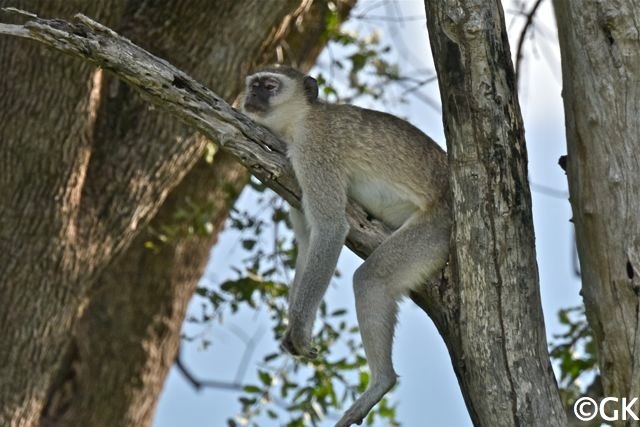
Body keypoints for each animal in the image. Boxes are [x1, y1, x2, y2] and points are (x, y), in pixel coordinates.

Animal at [240, 67, 450, 427]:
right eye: (253, 84)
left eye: (269, 86)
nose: (251, 95)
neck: (302, 119)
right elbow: (307, 241)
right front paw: (293, 328)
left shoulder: (314, 151)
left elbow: (330, 230)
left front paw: (299, 329)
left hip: (439, 227)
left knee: (371, 279)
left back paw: (382, 381)